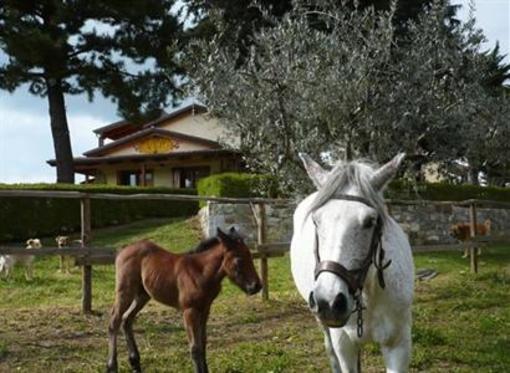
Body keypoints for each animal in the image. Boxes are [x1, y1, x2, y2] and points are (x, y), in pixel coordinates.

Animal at [105, 225, 260, 370]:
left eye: (251, 256)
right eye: (239, 260)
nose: (257, 286)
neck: (200, 272)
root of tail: (123, 250)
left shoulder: (205, 309)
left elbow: (203, 343)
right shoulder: (189, 310)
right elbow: (195, 348)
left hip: (142, 295)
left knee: (127, 320)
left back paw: (135, 363)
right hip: (125, 291)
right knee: (114, 321)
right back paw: (112, 366)